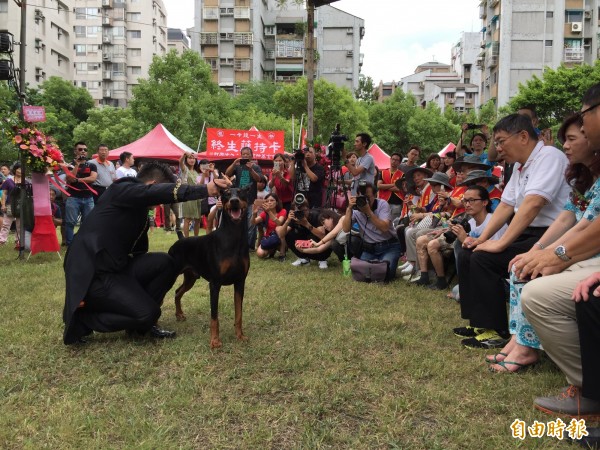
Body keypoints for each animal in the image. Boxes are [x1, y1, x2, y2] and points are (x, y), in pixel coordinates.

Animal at [169, 186, 251, 348]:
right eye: (226, 194)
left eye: (241, 192)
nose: (234, 201)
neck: (233, 237)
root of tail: (180, 239)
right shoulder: (215, 284)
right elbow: (214, 316)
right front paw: (214, 341)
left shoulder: (240, 282)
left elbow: (239, 313)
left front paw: (240, 336)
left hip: (191, 278)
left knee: (177, 292)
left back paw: (179, 315)